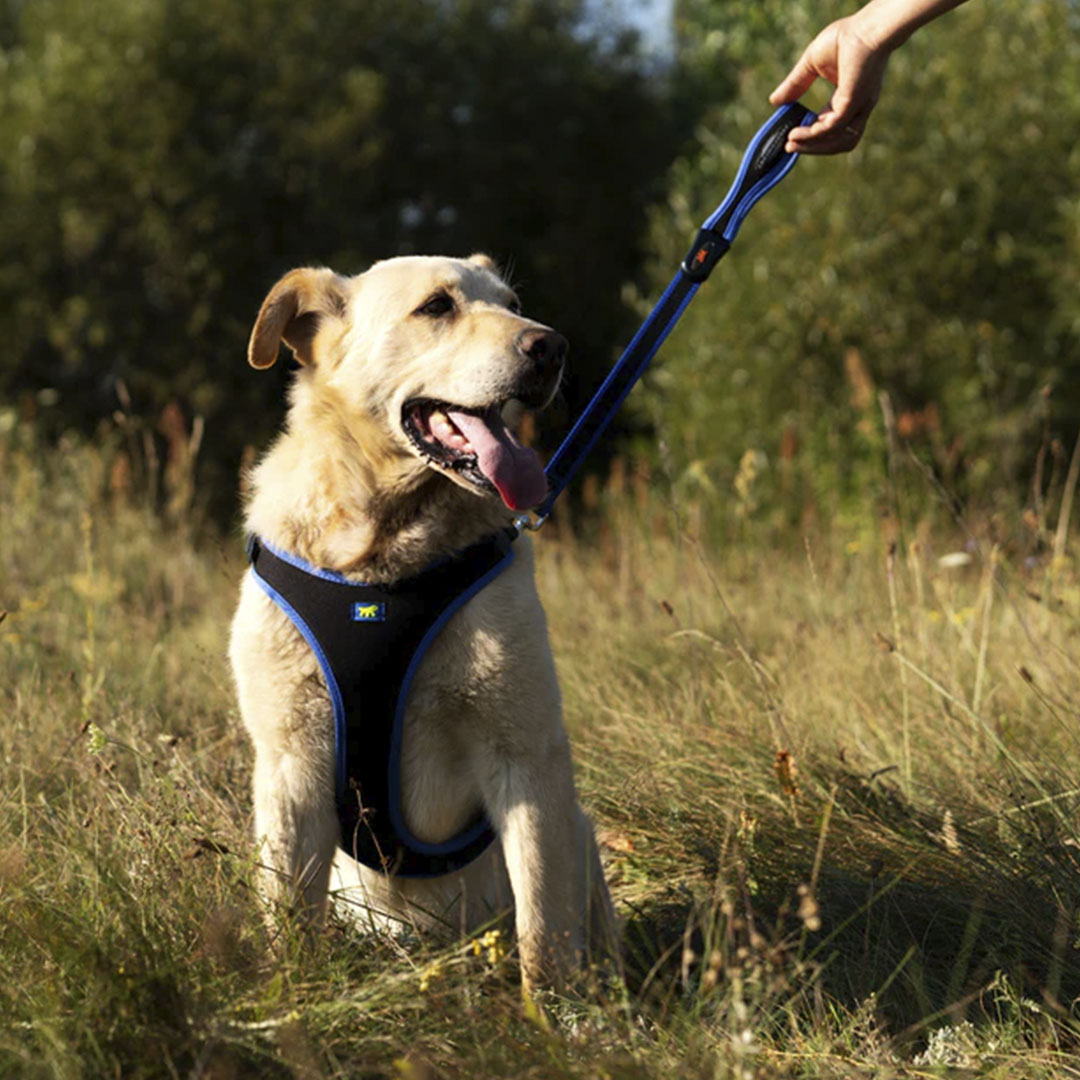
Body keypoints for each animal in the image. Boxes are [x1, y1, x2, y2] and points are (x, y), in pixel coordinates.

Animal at [227, 254, 617, 993]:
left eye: (513, 303)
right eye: (437, 306)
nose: (552, 347)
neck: (380, 561)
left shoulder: (525, 754)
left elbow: (545, 931)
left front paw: (555, 1016)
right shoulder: (290, 764)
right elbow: (290, 925)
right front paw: (294, 1003)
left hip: (578, 838)